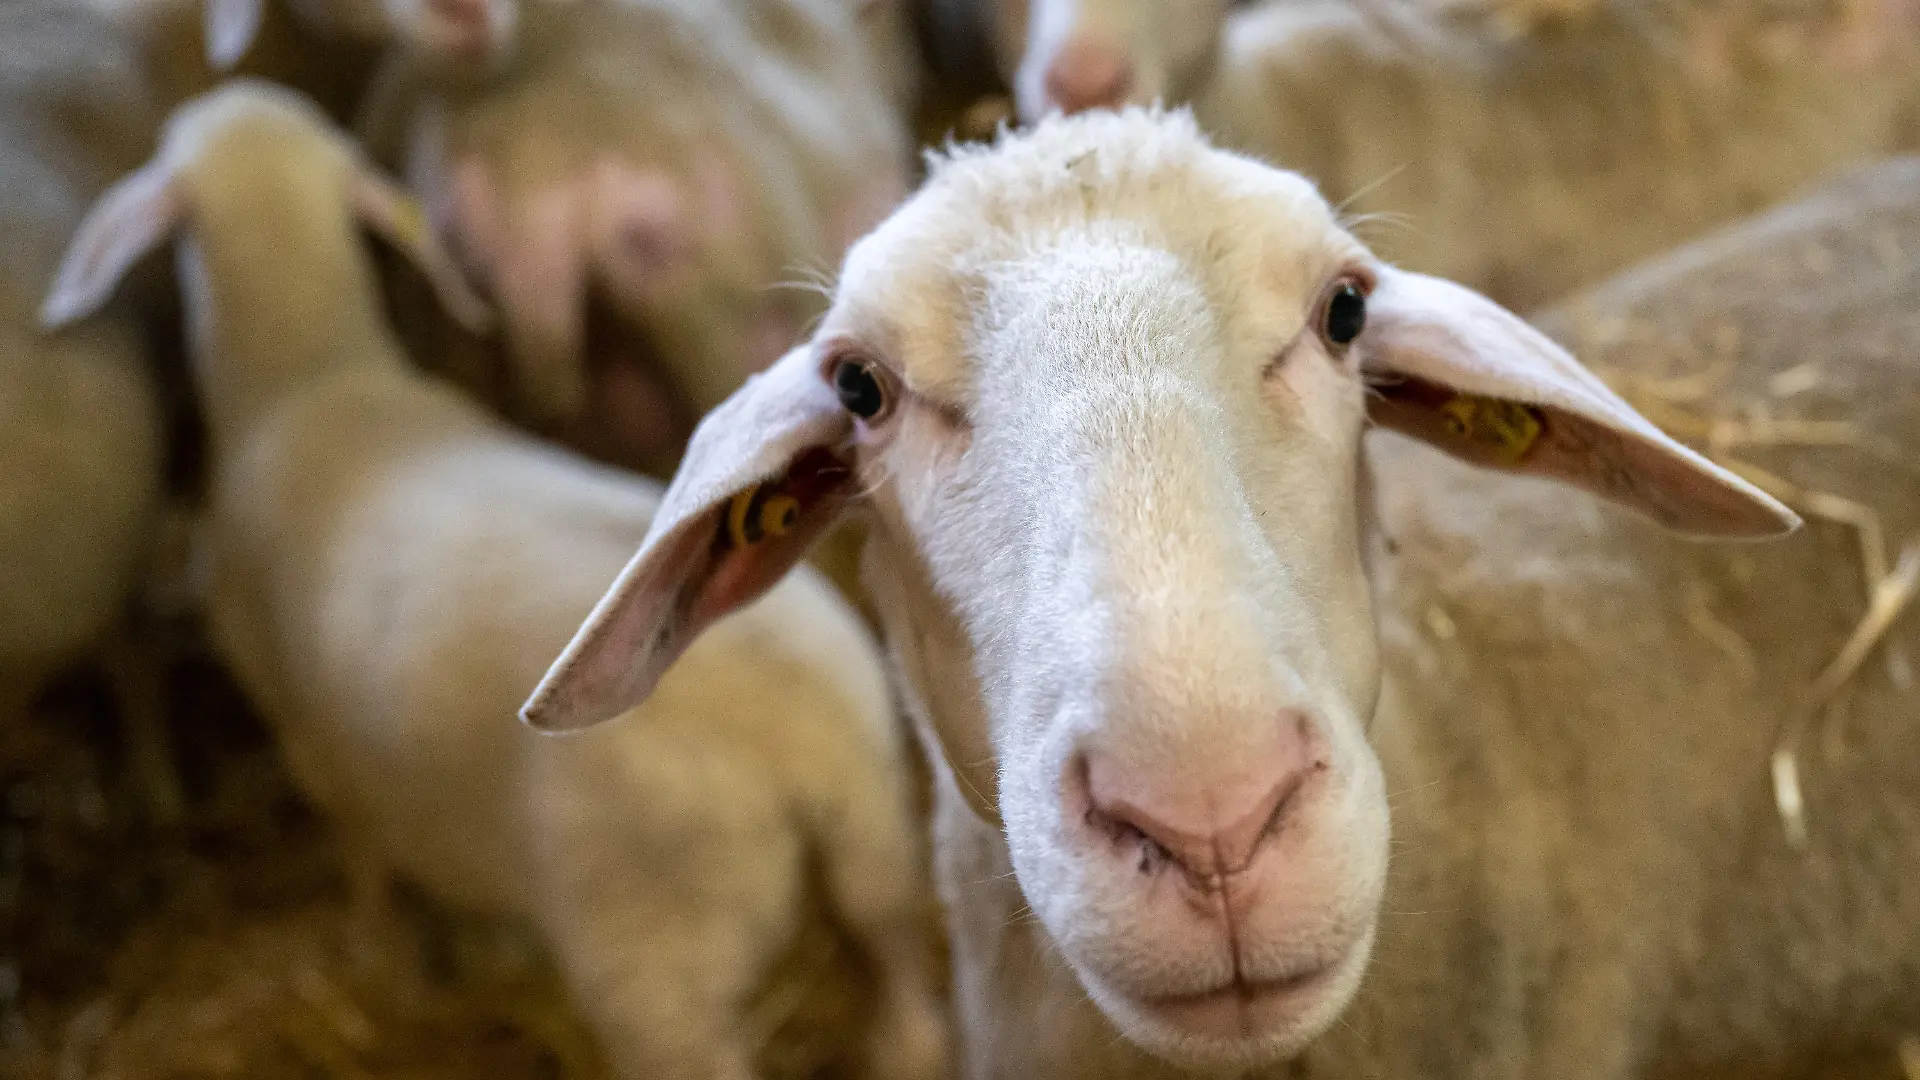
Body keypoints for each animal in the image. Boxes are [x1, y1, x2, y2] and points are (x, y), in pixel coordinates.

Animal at [44, 80, 949, 1080]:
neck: (309, 380)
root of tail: (803, 742)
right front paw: (489, 952)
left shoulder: (311, 743)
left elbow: (372, 870)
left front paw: (393, 969)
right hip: (881, 850)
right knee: (907, 1013)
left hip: (659, 949)